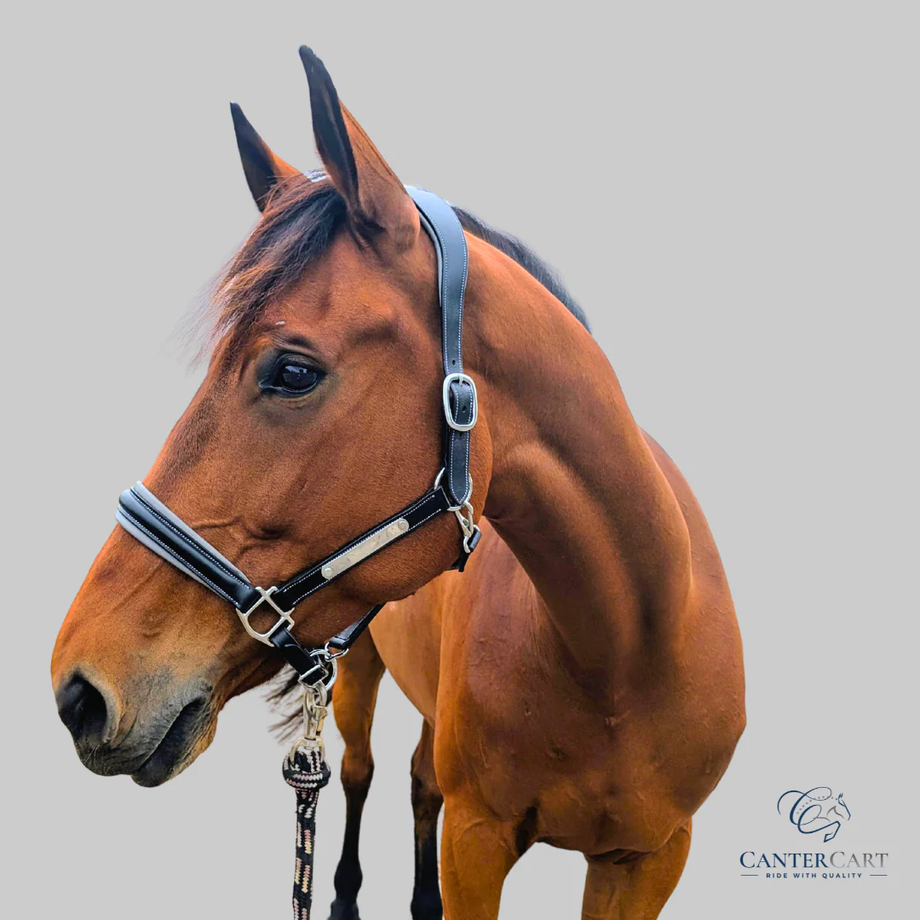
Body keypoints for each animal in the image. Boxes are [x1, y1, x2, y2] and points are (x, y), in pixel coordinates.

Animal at [51, 46, 746, 920]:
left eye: (291, 371)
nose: (78, 690)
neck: (623, 653)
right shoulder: (478, 839)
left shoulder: (648, 859)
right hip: (358, 678)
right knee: (360, 772)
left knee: (418, 782)